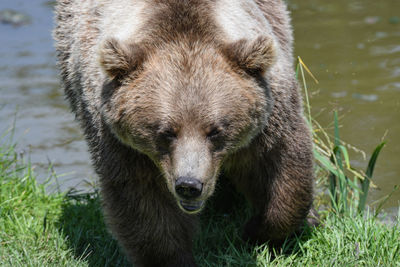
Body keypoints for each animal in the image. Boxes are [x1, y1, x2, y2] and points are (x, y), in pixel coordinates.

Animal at [54, 0, 316, 266]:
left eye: (215, 130)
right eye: (166, 132)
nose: (189, 185)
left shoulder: (268, 121)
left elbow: (282, 169)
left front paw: (256, 230)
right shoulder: (121, 144)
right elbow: (144, 204)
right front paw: (171, 257)